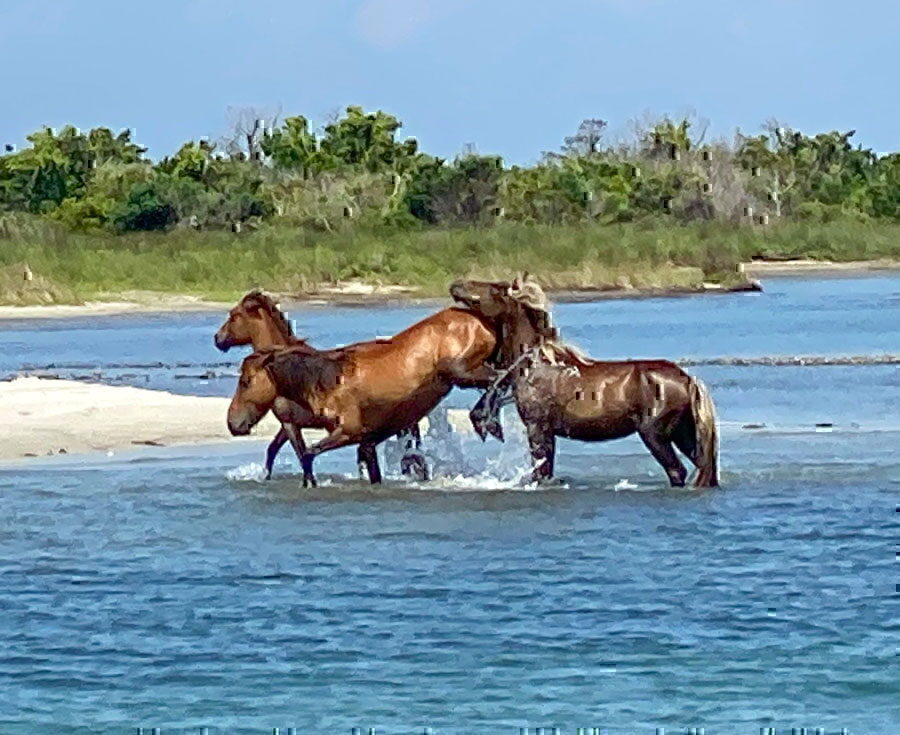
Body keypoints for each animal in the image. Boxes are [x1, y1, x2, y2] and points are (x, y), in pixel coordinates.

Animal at [213, 290, 424, 480]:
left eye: (234, 315)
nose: (217, 339)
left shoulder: (290, 423)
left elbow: (297, 454)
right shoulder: (290, 424)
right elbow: (274, 450)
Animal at [223, 302, 500, 486]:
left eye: (246, 381)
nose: (233, 423)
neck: (327, 381)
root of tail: (477, 320)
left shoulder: (346, 432)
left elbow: (305, 455)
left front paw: (307, 484)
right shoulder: (365, 440)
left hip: (462, 372)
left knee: (499, 380)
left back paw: (488, 421)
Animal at [450, 276, 716, 488]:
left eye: (496, 287)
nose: (457, 284)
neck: (534, 366)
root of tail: (689, 380)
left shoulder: (537, 427)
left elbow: (541, 472)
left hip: (655, 435)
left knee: (677, 471)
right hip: (683, 433)